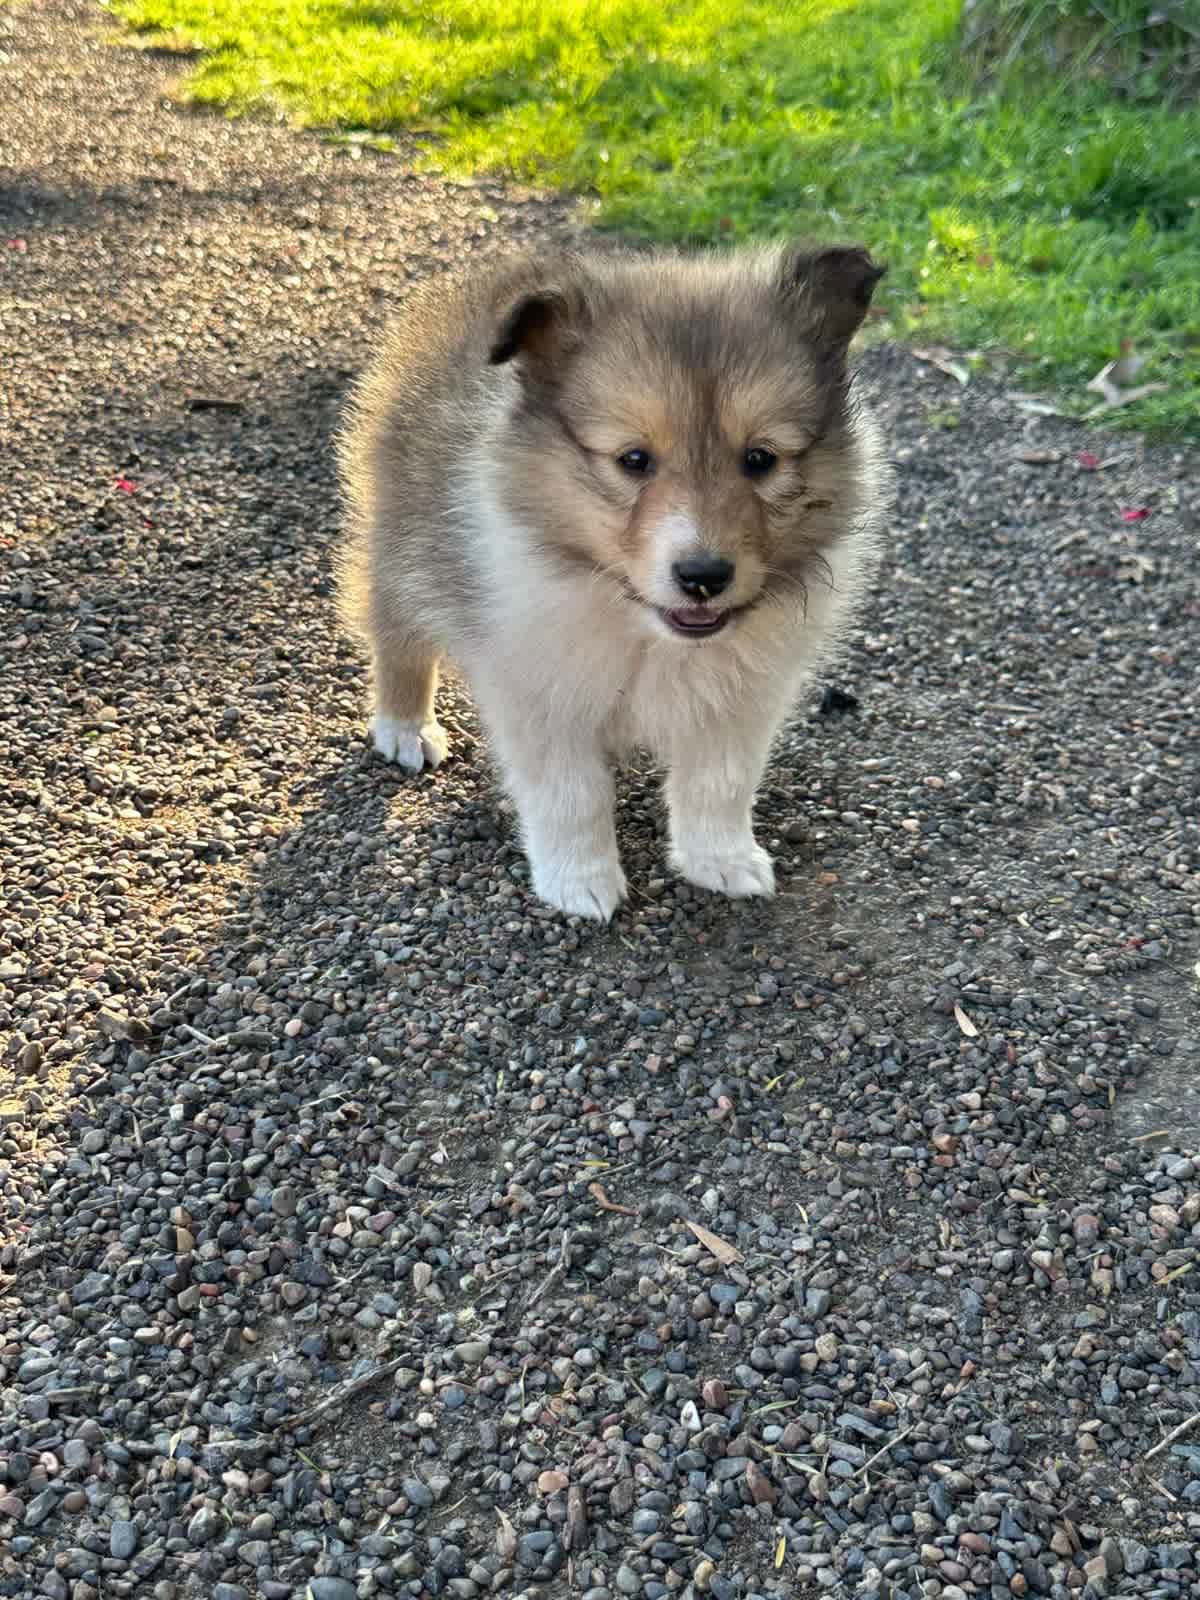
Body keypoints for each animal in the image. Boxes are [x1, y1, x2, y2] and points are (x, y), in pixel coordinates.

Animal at [336, 249, 896, 928]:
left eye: (761, 459)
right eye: (634, 460)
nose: (704, 577)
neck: (642, 625)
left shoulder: (742, 699)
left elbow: (721, 781)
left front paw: (721, 860)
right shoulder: (541, 692)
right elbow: (572, 795)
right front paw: (581, 883)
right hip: (401, 541)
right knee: (398, 636)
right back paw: (404, 727)